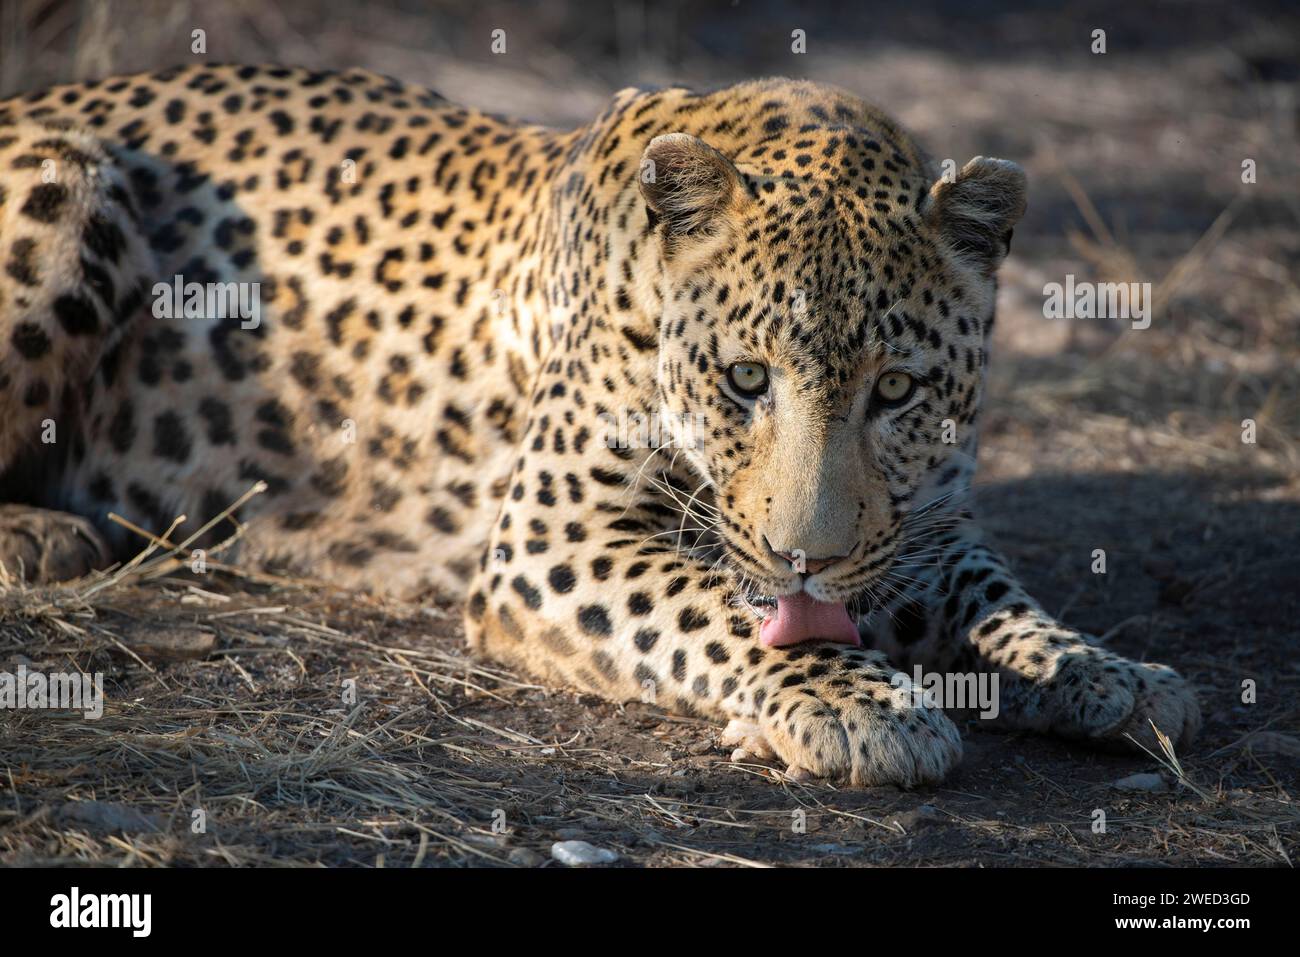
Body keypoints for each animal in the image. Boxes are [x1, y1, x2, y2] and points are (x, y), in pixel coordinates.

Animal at [0, 64, 1199, 786]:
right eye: (746, 379)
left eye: (897, 391)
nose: (807, 559)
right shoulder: (554, 537)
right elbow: (709, 605)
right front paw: (857, 706)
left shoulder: (918, 530)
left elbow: (999, 602)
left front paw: (1111, 672)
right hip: (68, 177)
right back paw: (44, 535)